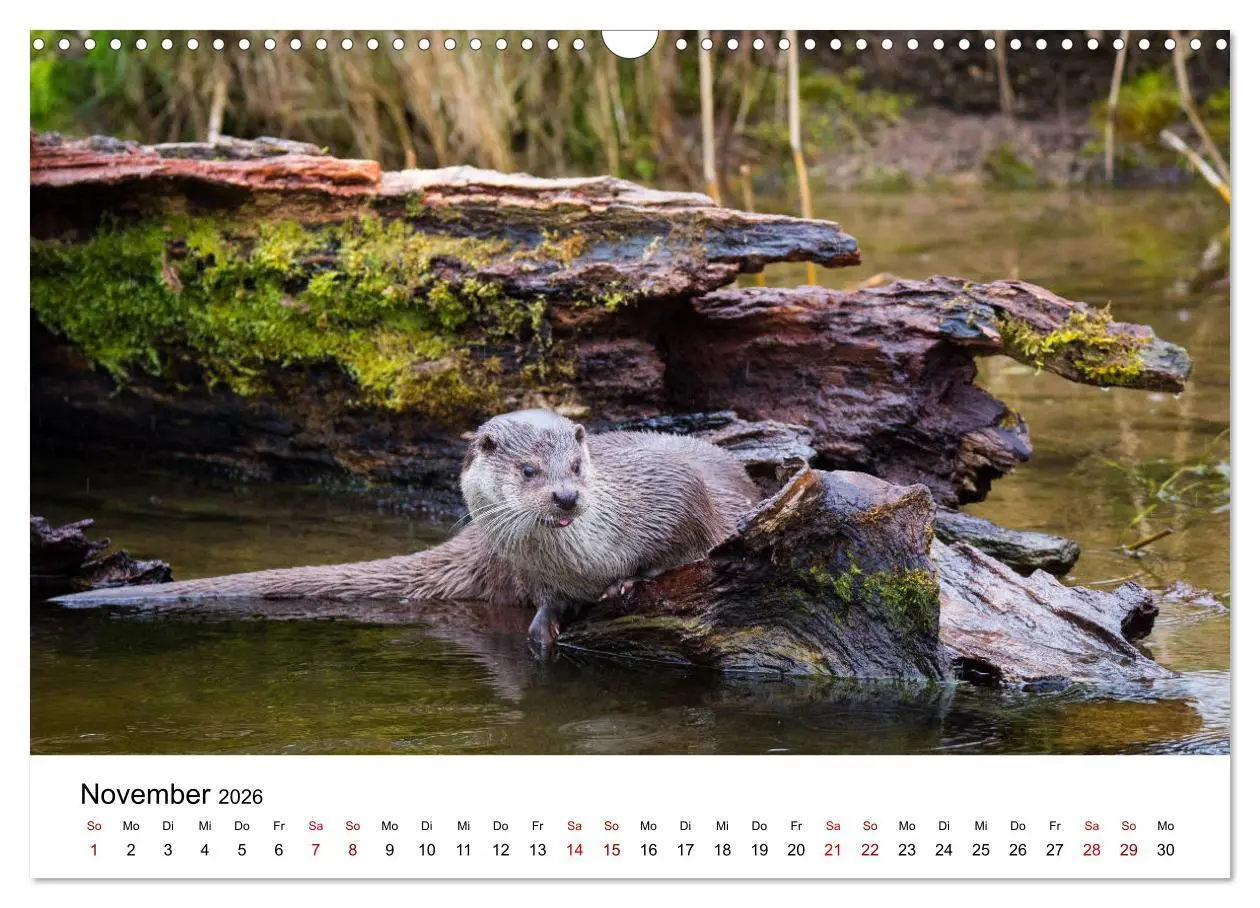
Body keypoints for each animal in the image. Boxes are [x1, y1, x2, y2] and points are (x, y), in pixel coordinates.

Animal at [51, 409, 759, 647]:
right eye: (529, 469)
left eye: (578, 465)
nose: (565, 494)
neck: (582, 559)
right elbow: (544, 602)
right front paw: (545, 621)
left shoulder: (673, 492)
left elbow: (687, 538)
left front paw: (628, 582)